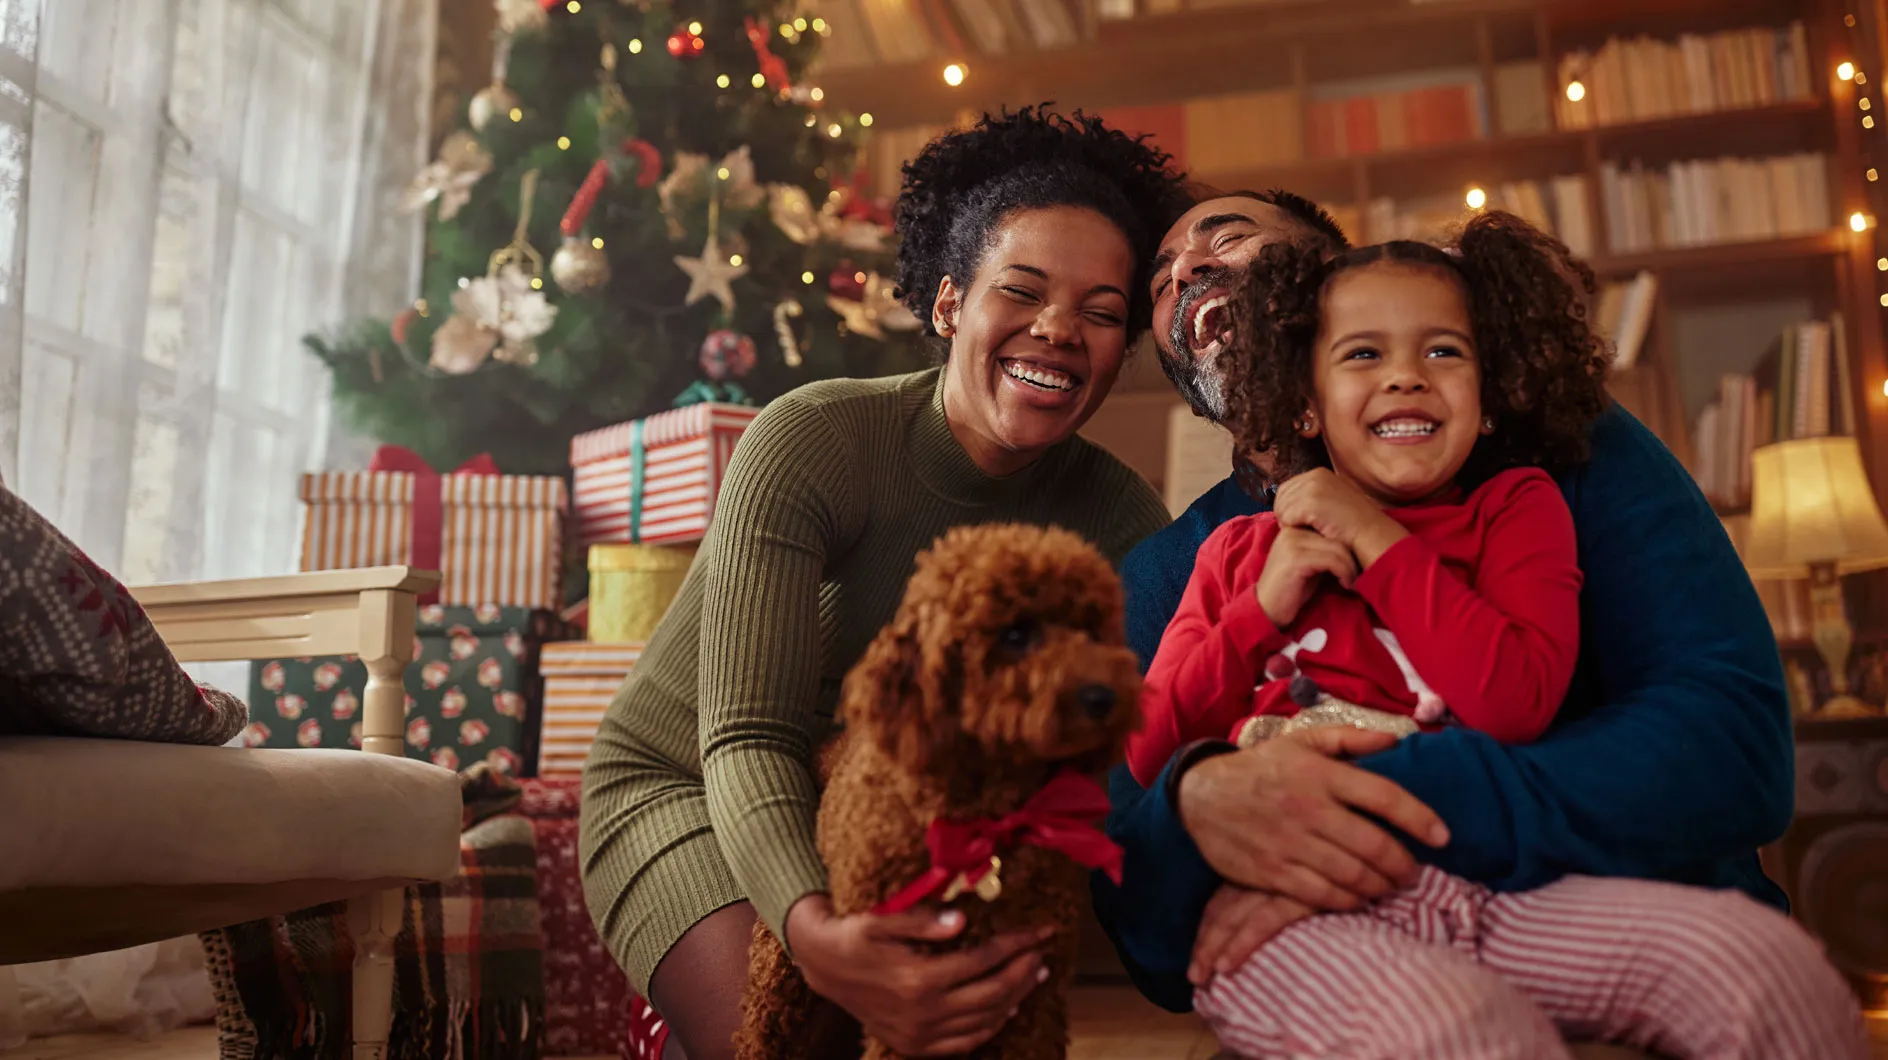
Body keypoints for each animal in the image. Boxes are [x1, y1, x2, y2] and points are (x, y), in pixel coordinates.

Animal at [732, 521, 1140, 1058]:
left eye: (1093, 631)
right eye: (1015, 634)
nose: (1104, 697)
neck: (987, 824)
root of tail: (830, 745)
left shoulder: (1035, 993)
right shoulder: (909, 1001)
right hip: (780, 974)